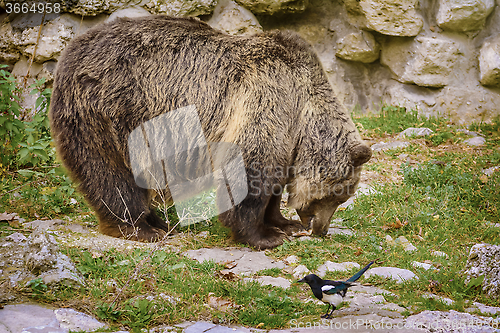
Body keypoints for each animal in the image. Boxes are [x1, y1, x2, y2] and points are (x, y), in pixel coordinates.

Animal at [49, 15, 372, 249]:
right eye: (339, 196)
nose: (320, 228)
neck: (302, 112)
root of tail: (70, 51)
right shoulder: (267, 96)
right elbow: (248, 169)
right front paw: (264, 236)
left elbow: (274, 183)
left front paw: (282, 222)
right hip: (110, 111)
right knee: (111, 174)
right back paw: (140, 228)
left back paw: (157, 222)